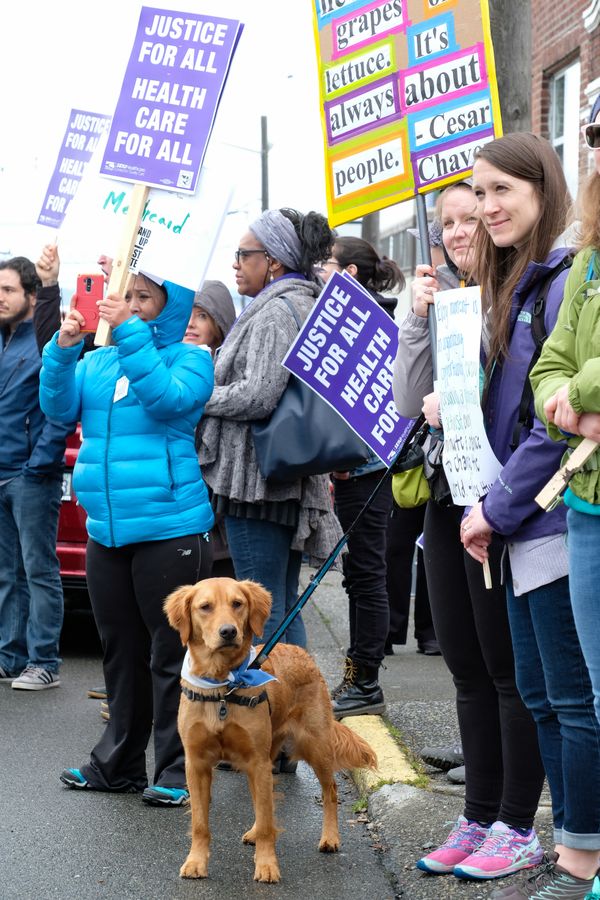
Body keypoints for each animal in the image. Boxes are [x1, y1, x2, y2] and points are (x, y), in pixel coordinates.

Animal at [164, 580, 378, 884]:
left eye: (237, 603)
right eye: (205, 607)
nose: (228, 632)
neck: (223, 687)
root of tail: (301, 651)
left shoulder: (256, 761)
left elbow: (268, 822)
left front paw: (266, 866)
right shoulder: (198, 764)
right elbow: (200, 823)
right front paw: (195, 862)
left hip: (315, 747)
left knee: (330, 791)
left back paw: (330, 838)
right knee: (261, 801)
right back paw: (255, 832)